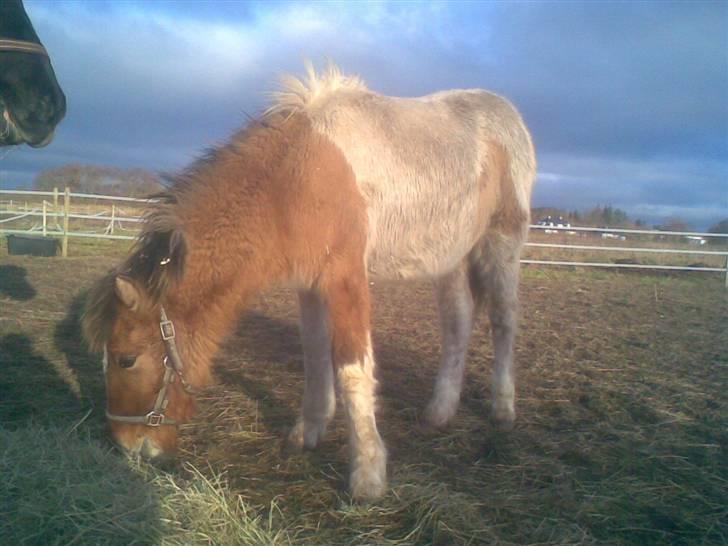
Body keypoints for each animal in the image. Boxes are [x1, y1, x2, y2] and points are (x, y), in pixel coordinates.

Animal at [82, 63, 536, 498]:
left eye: (126, 358)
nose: (128, 445)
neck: (295, 178)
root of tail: (507, 114)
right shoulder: (311, 285)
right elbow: (316, 354)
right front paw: (308, 432)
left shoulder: (346, 279)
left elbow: (351, 368)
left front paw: (367, 475)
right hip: (450, 258)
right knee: (458, 323)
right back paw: (439, 412)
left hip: (502, 242)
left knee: (504, 320)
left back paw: (502, 410)